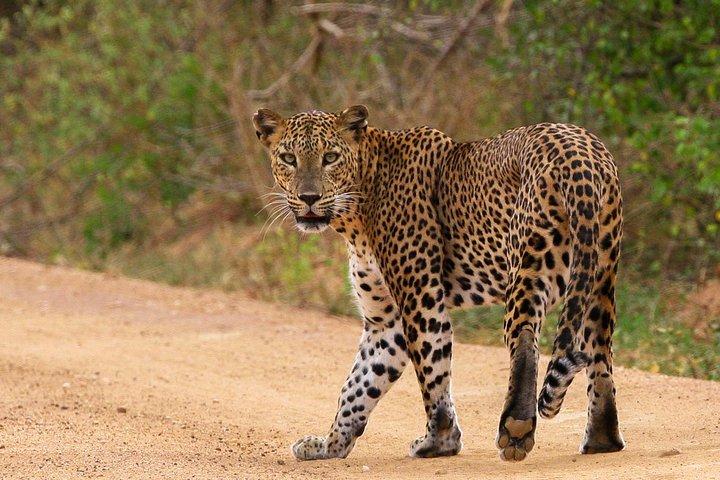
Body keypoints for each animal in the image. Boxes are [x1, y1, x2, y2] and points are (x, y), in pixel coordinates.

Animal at [253, 105, 625, 462]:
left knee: (525, 338)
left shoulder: (420, 297)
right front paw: (330, 446)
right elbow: (359, 385)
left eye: (330, 157)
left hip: (530, 261)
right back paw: (601, 440)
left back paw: (516, 428)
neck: (355, 213)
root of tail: (579, 153)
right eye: (289, 158)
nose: (309, 197)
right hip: (599, 273)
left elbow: (432, 370)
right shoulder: (385, 322)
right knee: (598, 350)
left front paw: (440, 442)